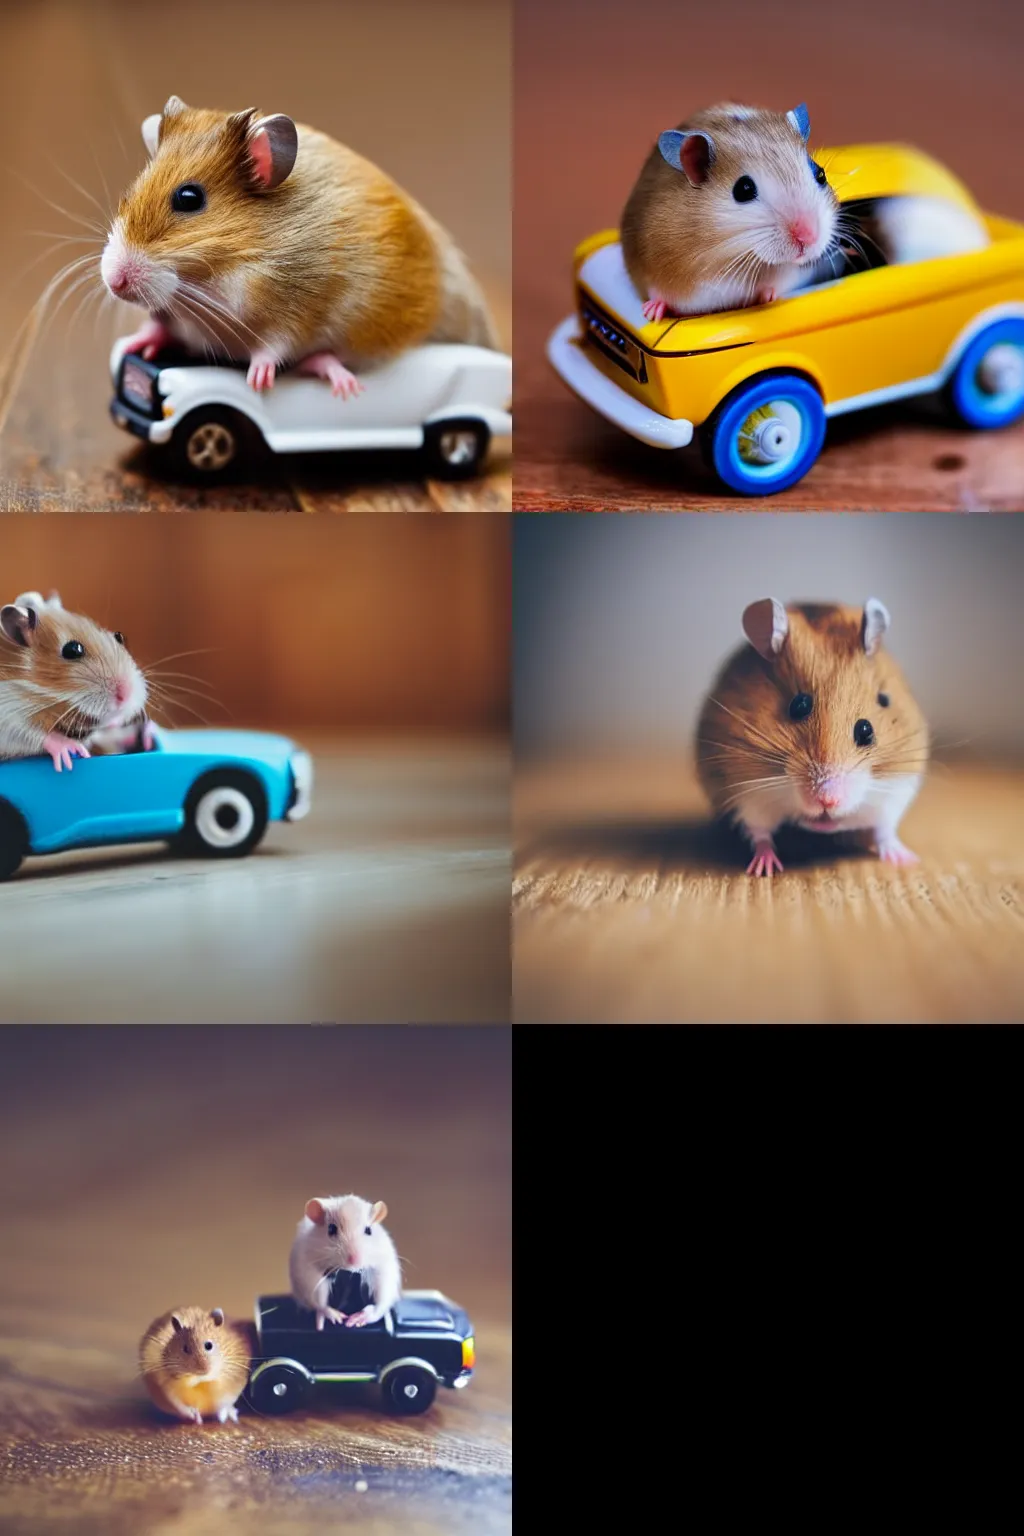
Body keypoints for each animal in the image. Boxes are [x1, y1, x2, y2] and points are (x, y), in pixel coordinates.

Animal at [0, 592, 148, 774]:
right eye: (72, 650)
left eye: (119, 636)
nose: (126, 697)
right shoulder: (7, 713)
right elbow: (32, 732)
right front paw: (68, 756)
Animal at [102, 92, 497, 396]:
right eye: (132, 189)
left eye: (189, 198)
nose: (113, 282)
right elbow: (160, 323)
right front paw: (132, 345)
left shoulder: (300, 312)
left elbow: (274, 346)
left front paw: (257, 382)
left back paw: (339, 379)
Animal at [290, 1185, 402, 1333]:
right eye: (331, 1229)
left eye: (368, 1230)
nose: (355, 1261)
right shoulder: (311, 1273)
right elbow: (321, 1303)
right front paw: (336, 1317)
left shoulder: (382, 1271)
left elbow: (379, 1305)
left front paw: (357, 1319)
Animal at [620, 99, 835, 321]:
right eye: (743, 190)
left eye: (820, 175)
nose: (810, 237)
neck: (725, 257)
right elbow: (657, 294)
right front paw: (652, 313)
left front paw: (768, 295)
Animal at [696, 592, 927, 878]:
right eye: (799, 706)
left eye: (866, 730)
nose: (828, 801)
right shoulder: (748, 793)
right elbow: (760, 832)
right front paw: (764, 870)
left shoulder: (896, 790)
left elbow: (885, 830)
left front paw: (907, 861)